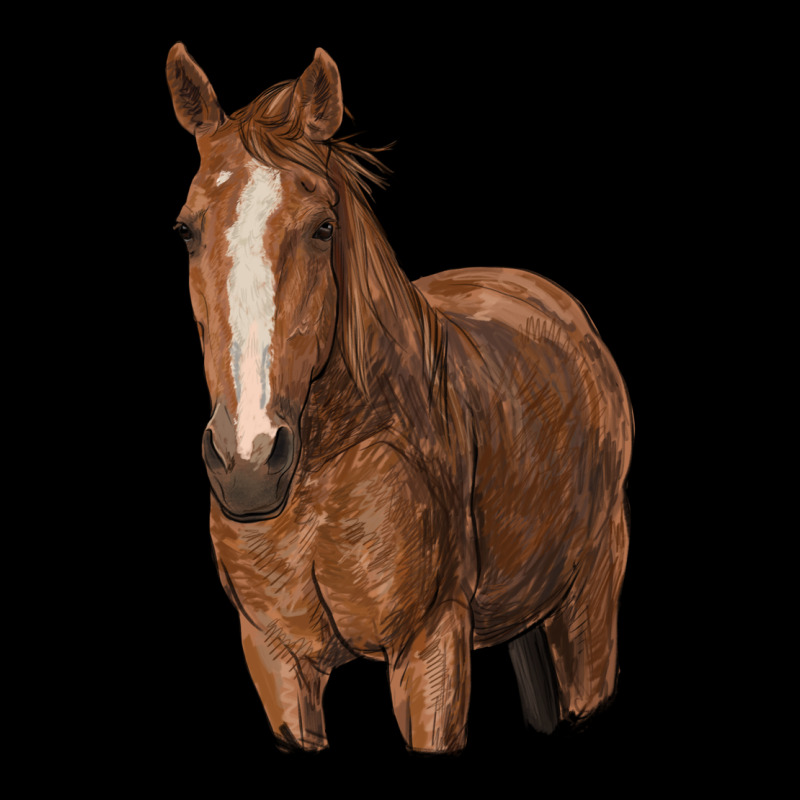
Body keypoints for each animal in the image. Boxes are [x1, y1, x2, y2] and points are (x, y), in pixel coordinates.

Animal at [166, 43, 634, 754]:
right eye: (187, 231)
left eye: (322, 227)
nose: (247, 464)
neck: (323, 472)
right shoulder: (276, 660)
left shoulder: (430, 647)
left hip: (588, 600)